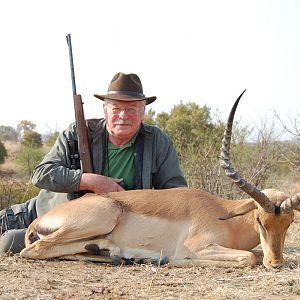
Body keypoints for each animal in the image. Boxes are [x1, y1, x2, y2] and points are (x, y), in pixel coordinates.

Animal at [19, 91, 298, 268]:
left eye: (289, 223)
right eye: (260, 220)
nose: (275, 263)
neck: (226, 216)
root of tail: (39, 221)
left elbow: (253, 254)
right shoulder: (196, 245)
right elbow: (247, 257)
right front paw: (171, 259)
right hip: (104, 215)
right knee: (35, 249)